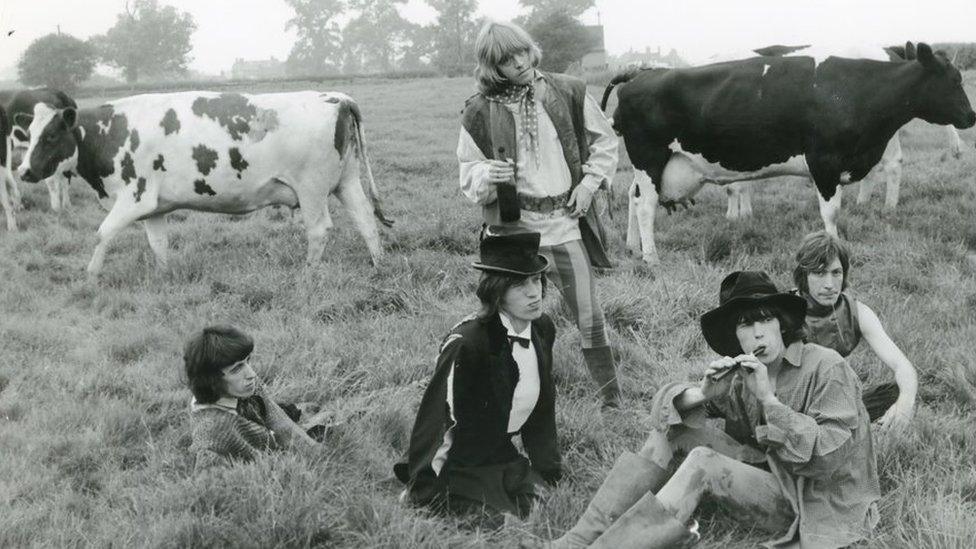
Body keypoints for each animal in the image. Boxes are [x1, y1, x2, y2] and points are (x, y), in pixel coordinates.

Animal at [17, 92, 390, 278]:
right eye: (29, 134)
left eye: (51, 136)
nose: (23, 171)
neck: (110, 132)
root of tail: (335, 97)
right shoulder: (154, 207)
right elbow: (158, 244)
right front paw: (165, 276)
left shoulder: (135, 196)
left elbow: (102, 233)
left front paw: (91, 276)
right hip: (347, 181)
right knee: (366, 219)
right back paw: (379, 265)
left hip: (310, 188)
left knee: (319, 229)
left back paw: (308, 273)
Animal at [608, 41, 972, 264]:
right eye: (954, 81)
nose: (972, 116)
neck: (852, 88)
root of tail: (640, 75)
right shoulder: (824, 161)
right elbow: (830, 213)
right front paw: (833, 253)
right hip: (649, 157)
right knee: (645, 205)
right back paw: (651, 257)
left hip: (653, 166)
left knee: (634, 197)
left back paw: (632, 246)